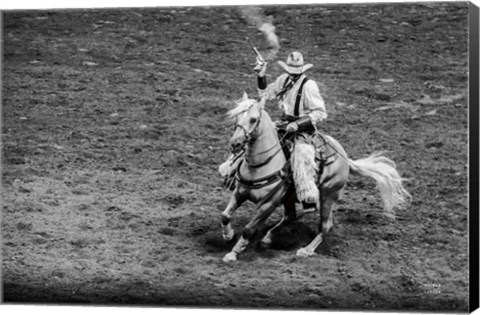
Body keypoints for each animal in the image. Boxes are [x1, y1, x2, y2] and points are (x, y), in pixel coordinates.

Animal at [219, 94, 410, 264]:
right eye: (236, 117)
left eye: (253, 119)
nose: (235, 143)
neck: (260, 164)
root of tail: (344, 158)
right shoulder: (239, 193)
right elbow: (225, 215)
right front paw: (228, 235)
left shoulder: (268, 204)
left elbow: (248, 229)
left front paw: (233, 253)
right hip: (290, 197)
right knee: (291, 216)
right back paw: (268, 237)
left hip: (327, 196)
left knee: (325, 225)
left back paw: (306, 250)